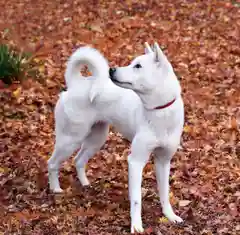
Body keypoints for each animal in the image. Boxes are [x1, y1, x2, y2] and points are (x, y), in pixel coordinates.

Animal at [47, 42, 185, 233]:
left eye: (138, 66)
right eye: (134, 63)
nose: (111, 70)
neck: (160, 111)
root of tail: (75, 84)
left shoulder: (163, 161)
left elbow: (164, 193)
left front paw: (170, 216)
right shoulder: (135, 161)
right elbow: (136, 200)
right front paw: (136, 226)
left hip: (96, 139)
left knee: (79, 160)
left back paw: (85, 184)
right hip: (70, 140)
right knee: (52, 163)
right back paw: (56, 189)